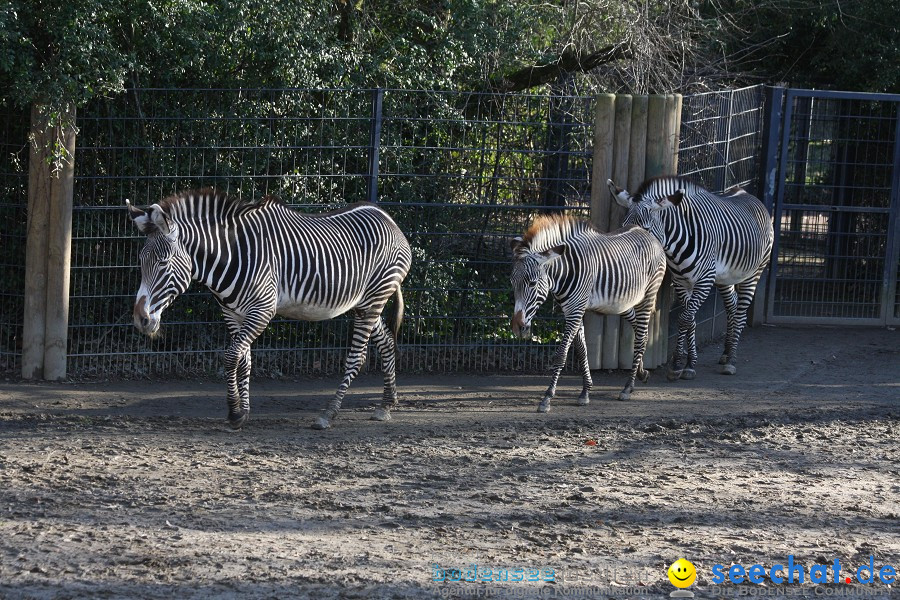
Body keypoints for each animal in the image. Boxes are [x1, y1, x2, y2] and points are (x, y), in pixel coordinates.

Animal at [125, 190, 412, 428]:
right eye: (141, 260)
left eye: (163, 262)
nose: (140, 319)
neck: (232, 256)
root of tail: (387, 217)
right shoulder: (233, 313)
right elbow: (244, 360)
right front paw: (244, 411)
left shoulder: (262, 310)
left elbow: (231, 357)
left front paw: (234, 413)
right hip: (364, 302)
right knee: (387, 342)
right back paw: (386, 405)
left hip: (375, 298)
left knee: (357, 357)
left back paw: (328, 414)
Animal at [510, 213, 664, 410]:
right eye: (512, 282)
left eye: (532, 283)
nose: (517, 327)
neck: (565, 272)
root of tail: (647, 234)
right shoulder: (573, 310)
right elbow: (582, 350)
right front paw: (585, 392)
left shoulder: (575, 311)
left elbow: (561, 354)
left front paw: (547, 397)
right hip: (623, 304)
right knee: (640, 333)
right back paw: (642, 373)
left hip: (648, 295)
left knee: (640, 336)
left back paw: (628, 388)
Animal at [608, 173, 776, 380]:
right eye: (624, 226)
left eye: (645, 229)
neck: (676, 244)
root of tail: (746, 193)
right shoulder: (681, 282)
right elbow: (691, 320)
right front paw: (687, 363)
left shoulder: (704, 281)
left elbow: (684, 319)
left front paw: (679, 364)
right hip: (725, 278)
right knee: (732, 306)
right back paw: (726, 352)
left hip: (754, 273)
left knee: (741, 312)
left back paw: (731, 360)